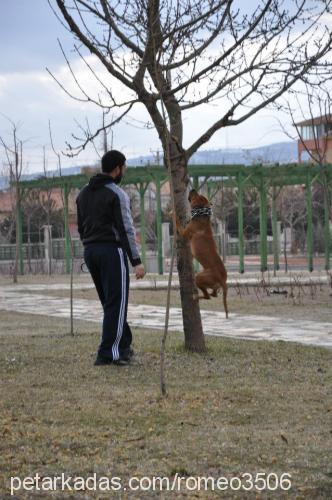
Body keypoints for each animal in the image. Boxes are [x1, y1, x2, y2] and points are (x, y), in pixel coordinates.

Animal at [176, 189, 228, 318]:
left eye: (197, 195)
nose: (192, 188)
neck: (202, 215)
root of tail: (222, 279)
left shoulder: (184, 233)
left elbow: (177, 221)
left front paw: (172, 213)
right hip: (211, 283)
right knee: (213, 294)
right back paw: (210, 293)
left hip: (199, 277)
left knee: (207, 296)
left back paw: (196, 297)